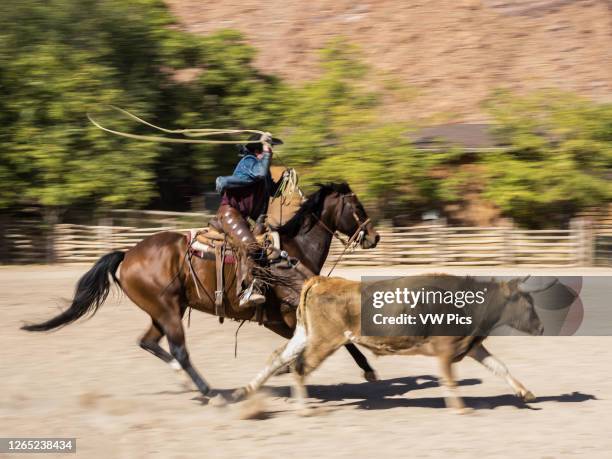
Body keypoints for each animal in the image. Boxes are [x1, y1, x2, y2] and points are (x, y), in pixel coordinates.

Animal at [22, 182, 378, 396]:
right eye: (357, 206)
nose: (374, 236)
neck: (293, 250)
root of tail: (128, 255)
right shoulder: (282, 317)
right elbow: (332, 339)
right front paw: (368, 370)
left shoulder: (283, 319)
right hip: (167, 310)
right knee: (178, 349)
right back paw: (208, 392)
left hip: (165, 311)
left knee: (148, 342)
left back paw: (184, 379)